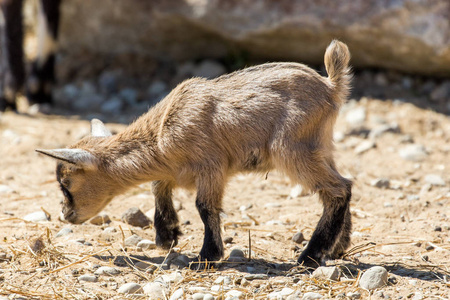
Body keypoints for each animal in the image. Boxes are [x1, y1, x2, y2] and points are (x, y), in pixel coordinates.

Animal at [37, 39, 352, 268]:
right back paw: (338, 248)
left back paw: (310, 256)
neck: (160, 135)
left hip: (291, 150)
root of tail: (331, 86)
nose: (65, 214)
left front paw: (207, 255)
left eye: (66, 184)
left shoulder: (211, 166)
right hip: (320, 147)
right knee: (343, 184)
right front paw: (167, 236)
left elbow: (204, 206)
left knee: (337, 190)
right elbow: (158, 185)